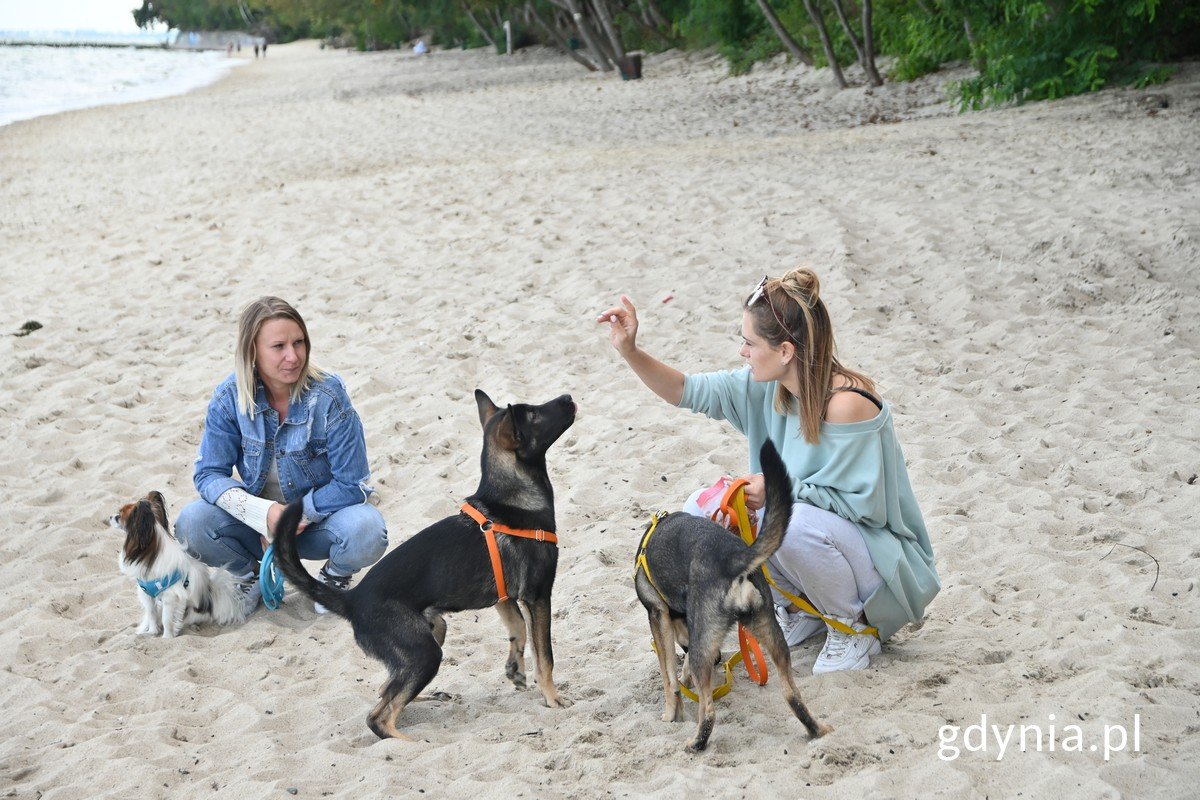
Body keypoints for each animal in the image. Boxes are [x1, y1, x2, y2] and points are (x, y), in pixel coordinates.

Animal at [110, 491, 246, 633]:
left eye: (119, 516)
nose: (110, 517)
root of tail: (210, 598)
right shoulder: (147, 594)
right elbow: (152, 615)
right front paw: (152, 633)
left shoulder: (170, 596)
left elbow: (166, 619)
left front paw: (167, 636)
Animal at [271, 391, 576, 743]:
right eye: (534, 415)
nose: (568, 397)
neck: (511, 497)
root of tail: (353, 599)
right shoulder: (538, 597)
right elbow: (546, 657)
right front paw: (553, 698)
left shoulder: (506, 597)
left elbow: (518, 629)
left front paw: (516, 669)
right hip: (426, 653)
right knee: (378, 716)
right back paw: (410, 742)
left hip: (432, 632)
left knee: (387, 689)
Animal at [633, 441, 830, 753]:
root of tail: (733, 558)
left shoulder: (657, 615)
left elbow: (669, 678)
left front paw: (670, 713)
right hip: (770, 632)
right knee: (791, 694)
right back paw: (816, 729)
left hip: (707, 646)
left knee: (709, 711)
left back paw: (696, 742)